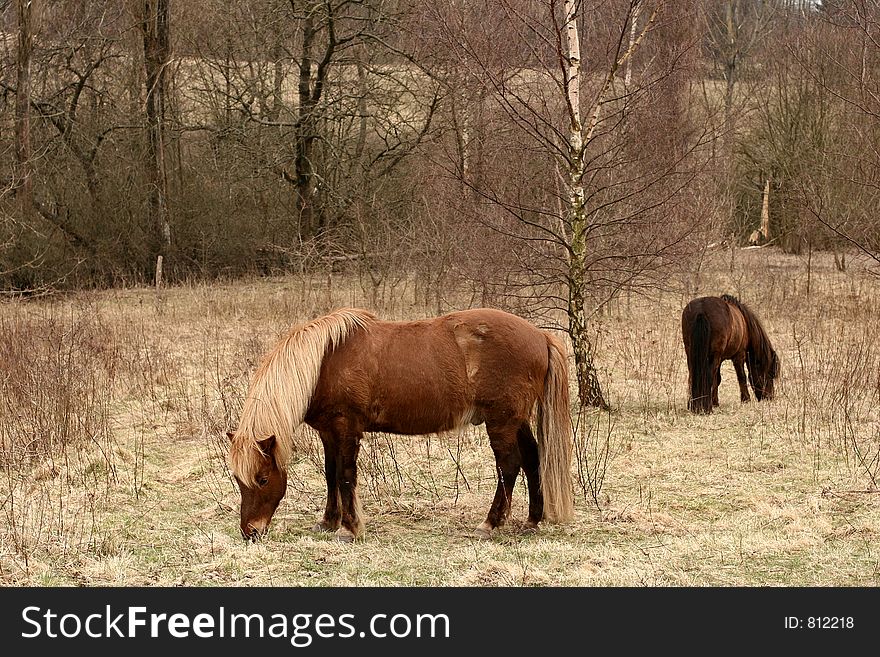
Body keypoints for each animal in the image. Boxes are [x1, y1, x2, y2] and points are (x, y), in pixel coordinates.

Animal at [223, 308, 576, 544]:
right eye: (238, 480)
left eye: (262, 478)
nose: (250, 532)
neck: (323, 363)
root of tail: (540, 335)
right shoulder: (328, 432)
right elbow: (330, 474)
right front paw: (329, 521)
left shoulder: (346, 428)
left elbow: (345, 476)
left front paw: (350, 528)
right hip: (515, 421)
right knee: (533, 459)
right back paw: (532, 520)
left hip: (501, 421)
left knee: (509, 465)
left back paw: (490, 524)